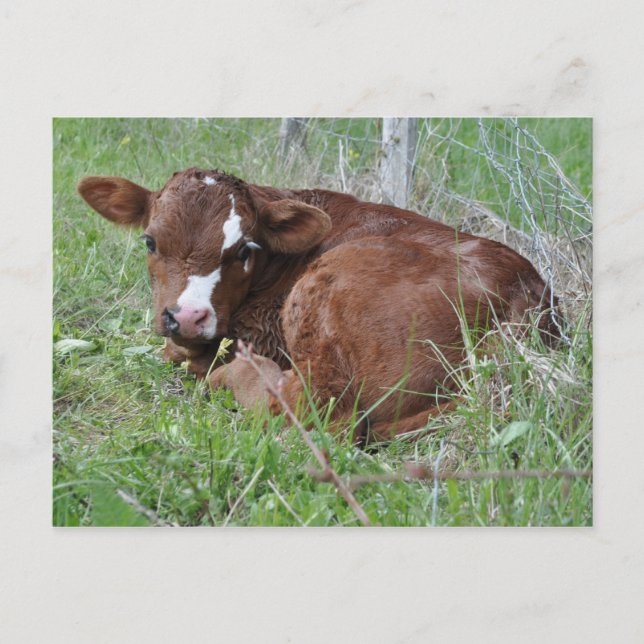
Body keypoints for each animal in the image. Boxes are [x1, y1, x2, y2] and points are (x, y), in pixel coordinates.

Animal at [78, 168, 560, 443]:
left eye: (244, 250)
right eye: (150, 241)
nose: (188, 318)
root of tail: (526, 294)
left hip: (328, 296)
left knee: (316, 412)